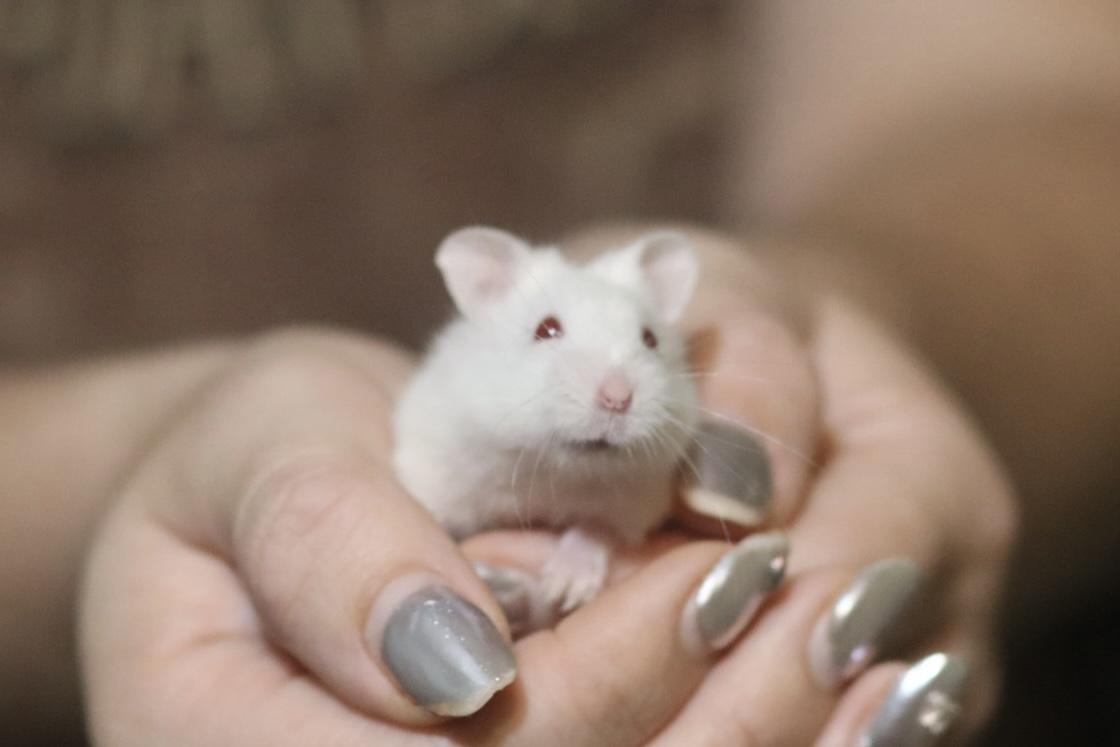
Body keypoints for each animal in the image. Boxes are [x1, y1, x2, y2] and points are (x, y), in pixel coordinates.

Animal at [393, 226, 700, 614]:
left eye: (650, 340)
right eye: (546, 329)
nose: (617, 399)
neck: (551, 475)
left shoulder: (636, 501)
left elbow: (595, 527)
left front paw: (565, 589)